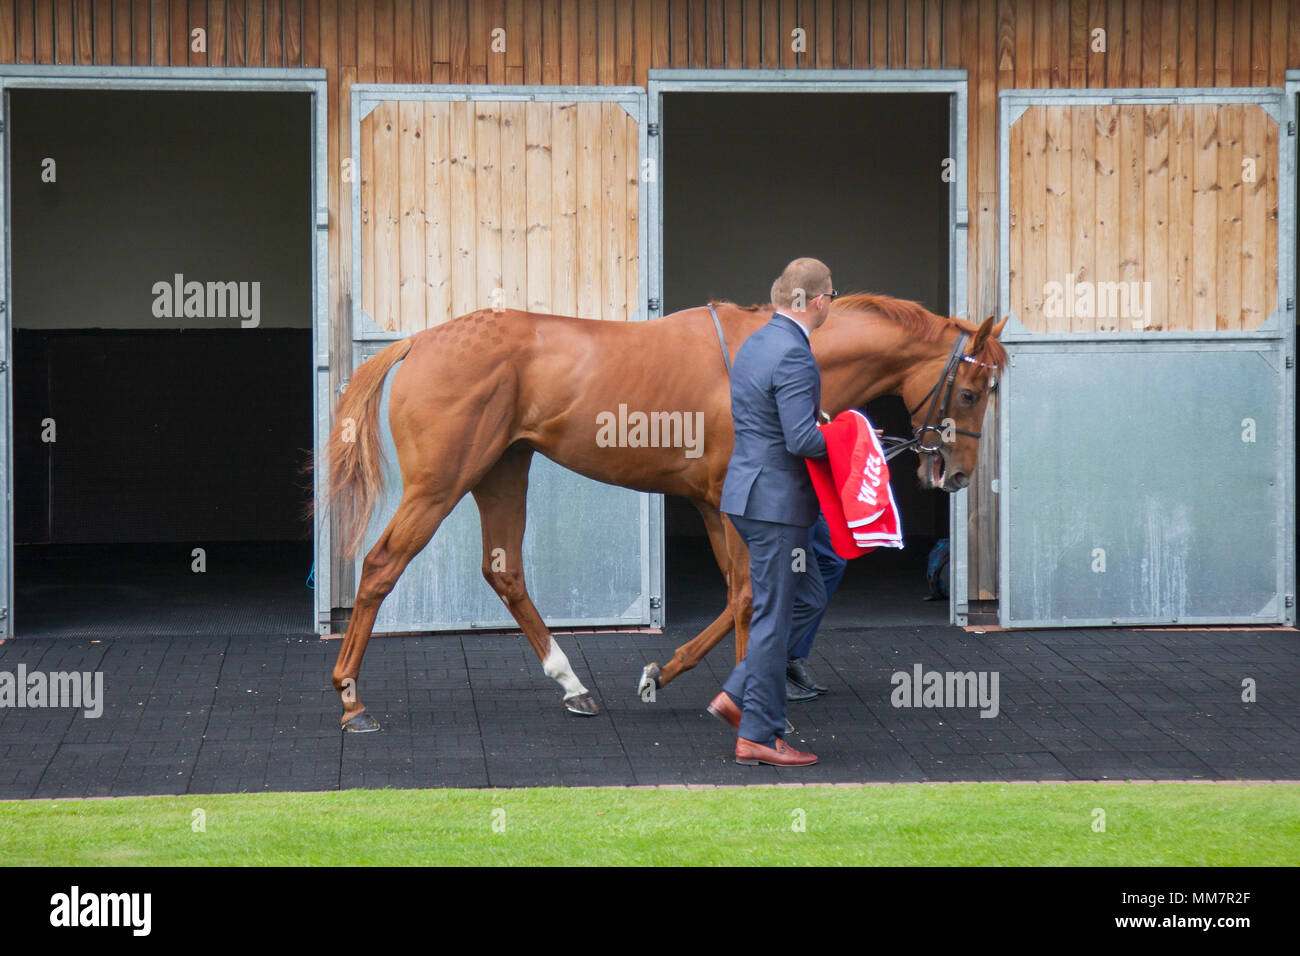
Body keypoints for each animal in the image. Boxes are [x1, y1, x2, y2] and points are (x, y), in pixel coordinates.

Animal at [322, 295, 1003, 728]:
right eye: (971, 391)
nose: (955, 473)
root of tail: (418, 342)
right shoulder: (732, 503)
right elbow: (748, 596)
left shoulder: (711, 504)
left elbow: (739, 595)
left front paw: (668, 674)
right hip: (440, 483)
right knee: (381, 566)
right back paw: (353, 702)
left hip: (503, 470)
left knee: (503, 570)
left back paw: (572, 685)